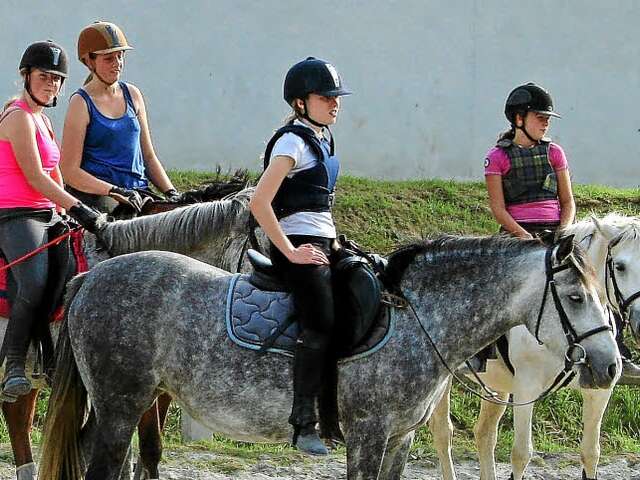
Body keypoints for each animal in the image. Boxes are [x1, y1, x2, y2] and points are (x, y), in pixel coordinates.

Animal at [37, 235, 616, 480]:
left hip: (121, 406)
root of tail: (92, 276)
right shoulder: (368, 435)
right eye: (575, 296)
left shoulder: (399, 439)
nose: (610, 367)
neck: (417, 317)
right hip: (121, 404)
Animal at [430, 214, 640, 480]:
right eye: (620, 266)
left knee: (484, 434)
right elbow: (521, 455)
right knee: (443, 431)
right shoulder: (526, 389)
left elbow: (591, 453)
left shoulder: (599, 391)